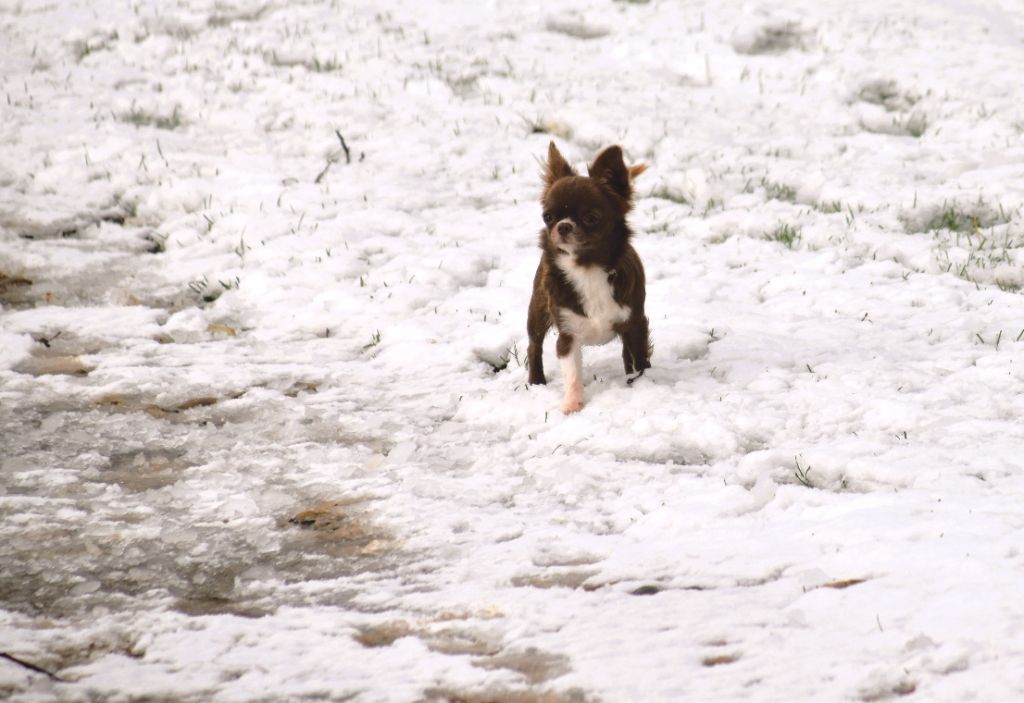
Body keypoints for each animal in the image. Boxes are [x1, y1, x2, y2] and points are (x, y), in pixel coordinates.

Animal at [532, 143, 651, 415]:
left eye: (591, 218)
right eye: (548, 217)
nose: (563, 226)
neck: (587, 268)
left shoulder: (635, 323)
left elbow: (640, 360)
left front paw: (641, 385)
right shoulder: (568, 334)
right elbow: (572, 372)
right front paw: (573, 404)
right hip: (537, 310)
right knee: (534, 345)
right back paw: (535, 382)